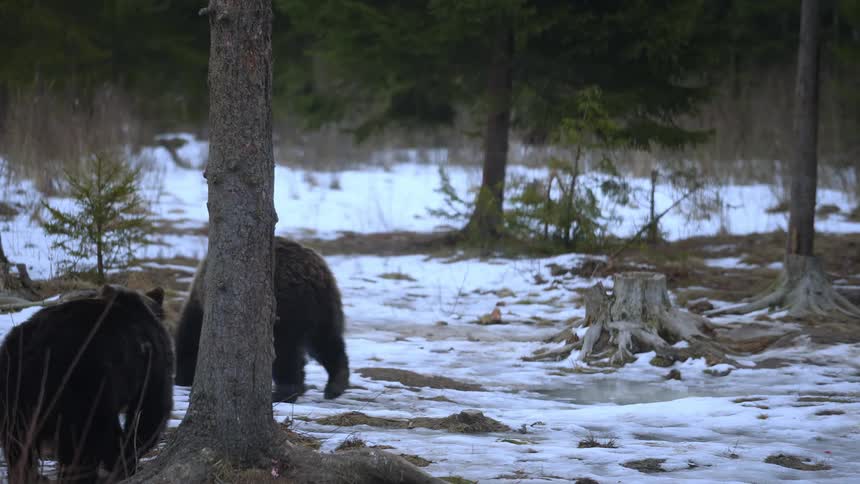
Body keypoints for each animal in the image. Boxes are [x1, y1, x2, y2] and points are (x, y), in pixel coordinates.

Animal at [0, 284, 174, 484]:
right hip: (83, 383)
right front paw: (129, 457)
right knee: (83, 444)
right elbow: (152, 409)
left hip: (14, 392)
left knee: (17, 445)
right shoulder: (152, 362)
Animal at [173, 236, 349, 403]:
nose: (181, 380)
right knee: (326, 342)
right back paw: (335, 385)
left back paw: (282, 393)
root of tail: (311, 274)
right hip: (325, 305)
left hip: (284, 306)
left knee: (286, 350)